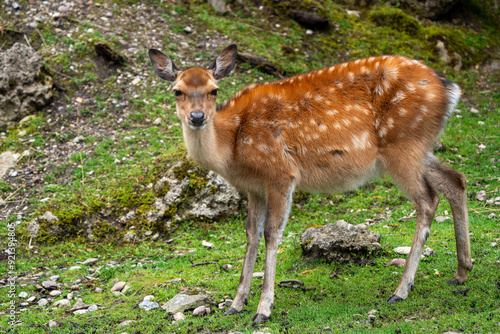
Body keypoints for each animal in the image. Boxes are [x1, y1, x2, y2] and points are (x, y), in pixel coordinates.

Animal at [147, 44, 472, 324]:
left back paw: (402, 290)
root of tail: (451, 89)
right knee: (455, 179)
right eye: (177, 91)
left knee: (428, 199)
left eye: (214, 89)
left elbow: (271, 234)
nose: (197, 117)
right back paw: (462, 270)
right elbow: (251, 235)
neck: (233, 146)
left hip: (403, 145)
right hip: (418, 149)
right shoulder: (253, 187)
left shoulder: (280, 173)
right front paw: (237, 303)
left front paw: (264, 308)